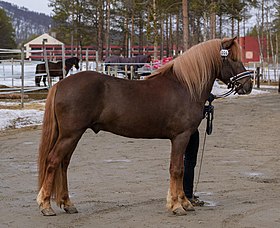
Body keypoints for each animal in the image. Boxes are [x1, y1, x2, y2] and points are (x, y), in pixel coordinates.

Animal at [36, 37, 253, 216]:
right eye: (233, 59)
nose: (248, 84)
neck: (185, 87)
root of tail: (61, 84)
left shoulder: (185, 137)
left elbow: (182, 168)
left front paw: (184, 202)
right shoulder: (181, 136)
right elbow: (177, 169)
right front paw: (176, 206)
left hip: (72, 135)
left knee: (64, 163)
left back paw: (67, 203)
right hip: (70, 134)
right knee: (53, 161)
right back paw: (46, 205)